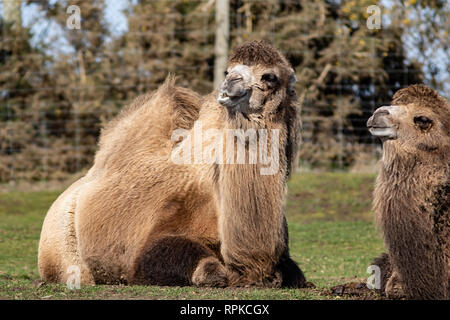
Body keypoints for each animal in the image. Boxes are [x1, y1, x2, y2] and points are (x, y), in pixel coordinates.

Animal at [38, 40, 308, 288]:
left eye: (269, 76)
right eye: (228, 70)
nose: (229, 84)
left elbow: (296, 276)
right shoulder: (152, 240)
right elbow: (206, 269)